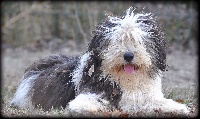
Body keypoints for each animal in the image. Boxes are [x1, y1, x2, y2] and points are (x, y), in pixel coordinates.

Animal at [10, 6, 189, 116]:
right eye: (117, 41)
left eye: (138, 40)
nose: (128, 56)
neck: (126, 81)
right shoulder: (92, 93)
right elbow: (84, 103)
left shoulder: (147, 96)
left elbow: (160, 102)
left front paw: (179, 108)